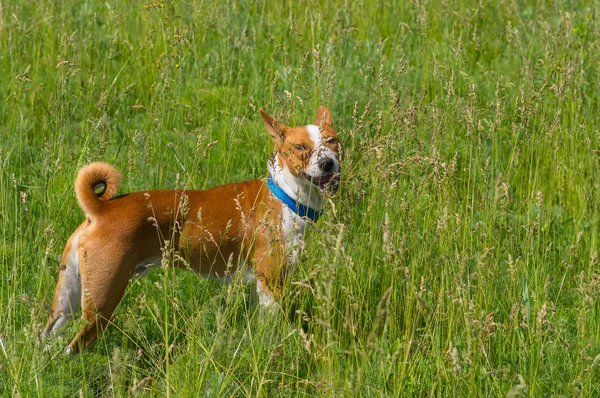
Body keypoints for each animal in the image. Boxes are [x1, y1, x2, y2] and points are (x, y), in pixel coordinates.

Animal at [41, 106, 342, 354]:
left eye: (332, 140)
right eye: (300, 147)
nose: (328, 163)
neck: (285, 195)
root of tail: (101, 210)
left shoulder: (258, 287)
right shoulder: (272, 285)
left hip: (67, 300)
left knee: (46, 342)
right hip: (102, 302)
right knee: (71, 349)